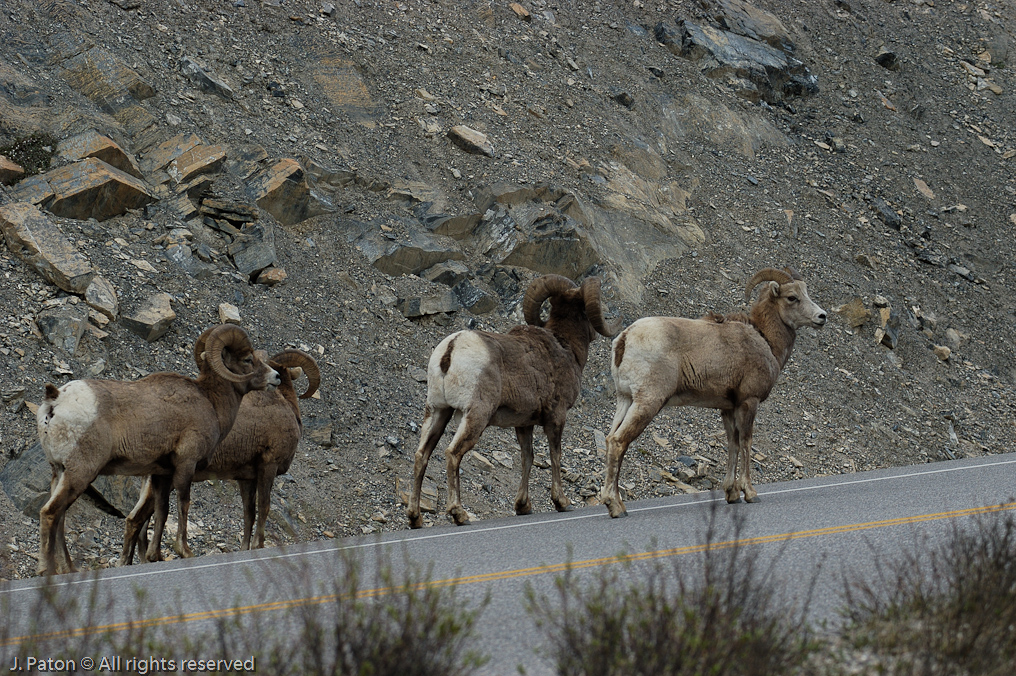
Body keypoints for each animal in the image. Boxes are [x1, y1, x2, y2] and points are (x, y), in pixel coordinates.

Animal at [35, 324, 279, 575]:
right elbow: (183, 503)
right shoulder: (186, 465)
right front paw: (185, 551)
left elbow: (162, 511)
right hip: (81, 473)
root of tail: (55, 401)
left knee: (60, 517)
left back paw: (69, 569)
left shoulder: (162, 474)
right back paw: (46, 571)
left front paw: (156, 557)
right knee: (50, 513)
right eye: (248, 359)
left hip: (60, 472)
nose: (276, 377)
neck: (210, 402)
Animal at [118, 349, 320, 565]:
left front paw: (245, 549)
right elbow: (264, 506)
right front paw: (258, 546)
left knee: (135, 521)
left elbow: (249, 513)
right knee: (138, 520)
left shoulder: (246, 479)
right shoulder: (268, 466)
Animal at [407, 274, 621, 528]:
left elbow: (527, 458)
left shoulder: (524, 424)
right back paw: (459, 514)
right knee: (453, 453)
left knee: (421, 455)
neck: (565, 347)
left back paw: (415, 518)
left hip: (438, 411)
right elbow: (555, 456)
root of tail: (451, 350)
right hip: (475, 416)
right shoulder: (556, 417)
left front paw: (523, 507)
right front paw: (562, 502)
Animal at [599, 267, 826, 517]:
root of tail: (624, 338)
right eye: (792, 297)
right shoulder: (749, 402)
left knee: (611, 439)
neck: (765, 340)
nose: (821, 317)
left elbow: (733, 444)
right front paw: (750, 493)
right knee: (619, 442)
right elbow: (746, 442)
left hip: (625, 400)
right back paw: (616, 507)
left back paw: (615, 504)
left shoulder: (728, 408)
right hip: (647, 402)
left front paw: (732, 494)